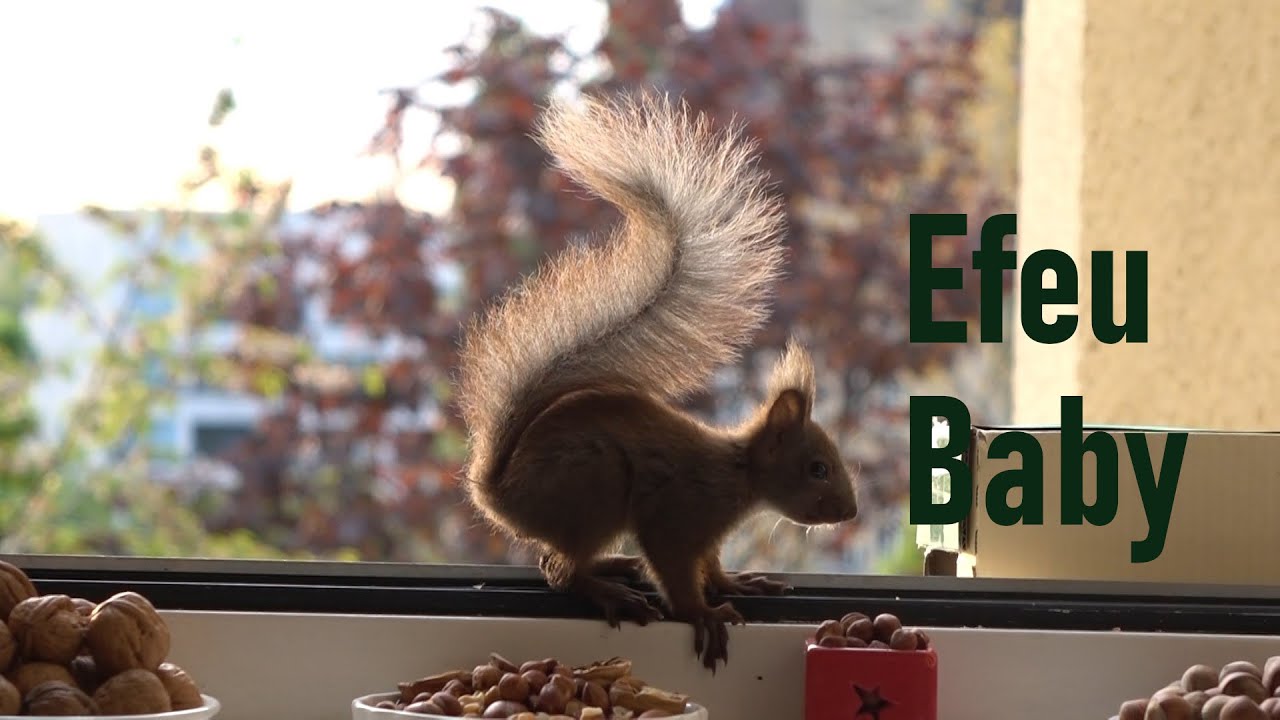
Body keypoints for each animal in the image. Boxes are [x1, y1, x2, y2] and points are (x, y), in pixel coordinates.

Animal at [455, 90, 858, 671]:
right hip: (594, 485)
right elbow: (675, 569)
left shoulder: (705, 536)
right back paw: (607, 588)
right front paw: (703, 614)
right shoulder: (679, 513)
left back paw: (612, 568)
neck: (737, 474)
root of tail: (498, 493)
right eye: (818, 468)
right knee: (563, 572)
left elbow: (709, 565)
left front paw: (734, 583)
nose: (850, 512)